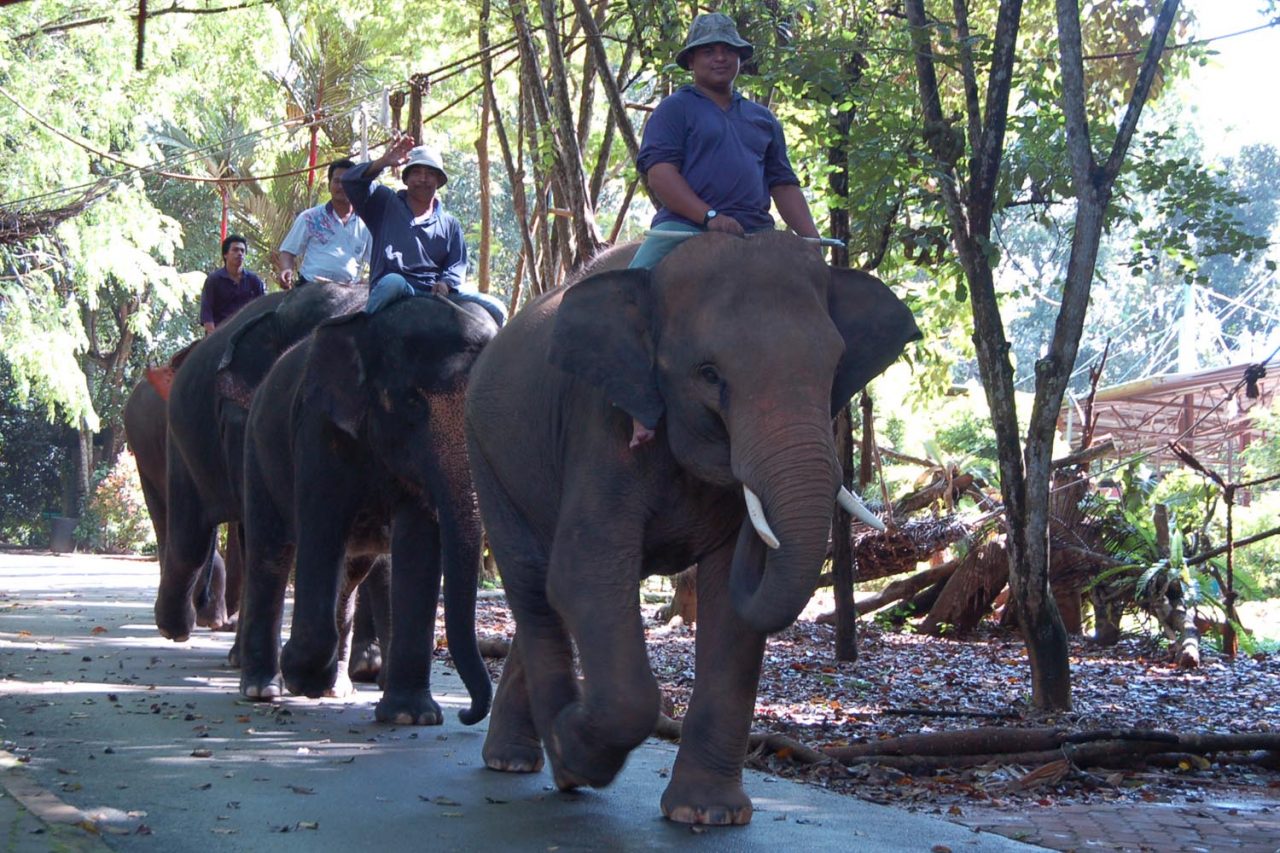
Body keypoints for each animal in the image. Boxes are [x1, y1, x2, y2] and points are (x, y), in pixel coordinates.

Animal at [238, 294, 496, 722]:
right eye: (411, 402)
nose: (466, 714)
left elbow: (418, 547)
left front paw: (410, 716)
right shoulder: (318, 427)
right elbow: (322, 529)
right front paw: (298, 673)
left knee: (350, 569)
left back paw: (335, 687)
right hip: (257, 455)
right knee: (270, 553)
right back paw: (263, 689)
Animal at [468, 230, 921, 824]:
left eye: (835, 365)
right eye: (709, 375)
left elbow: (728, 602)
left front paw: (707, 815)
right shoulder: (603, 421)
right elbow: (584, 574)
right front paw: (577, 753)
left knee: (541, 598)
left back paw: (532, 758)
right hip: (489, 460)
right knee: (533, 584)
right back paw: (540, 761)